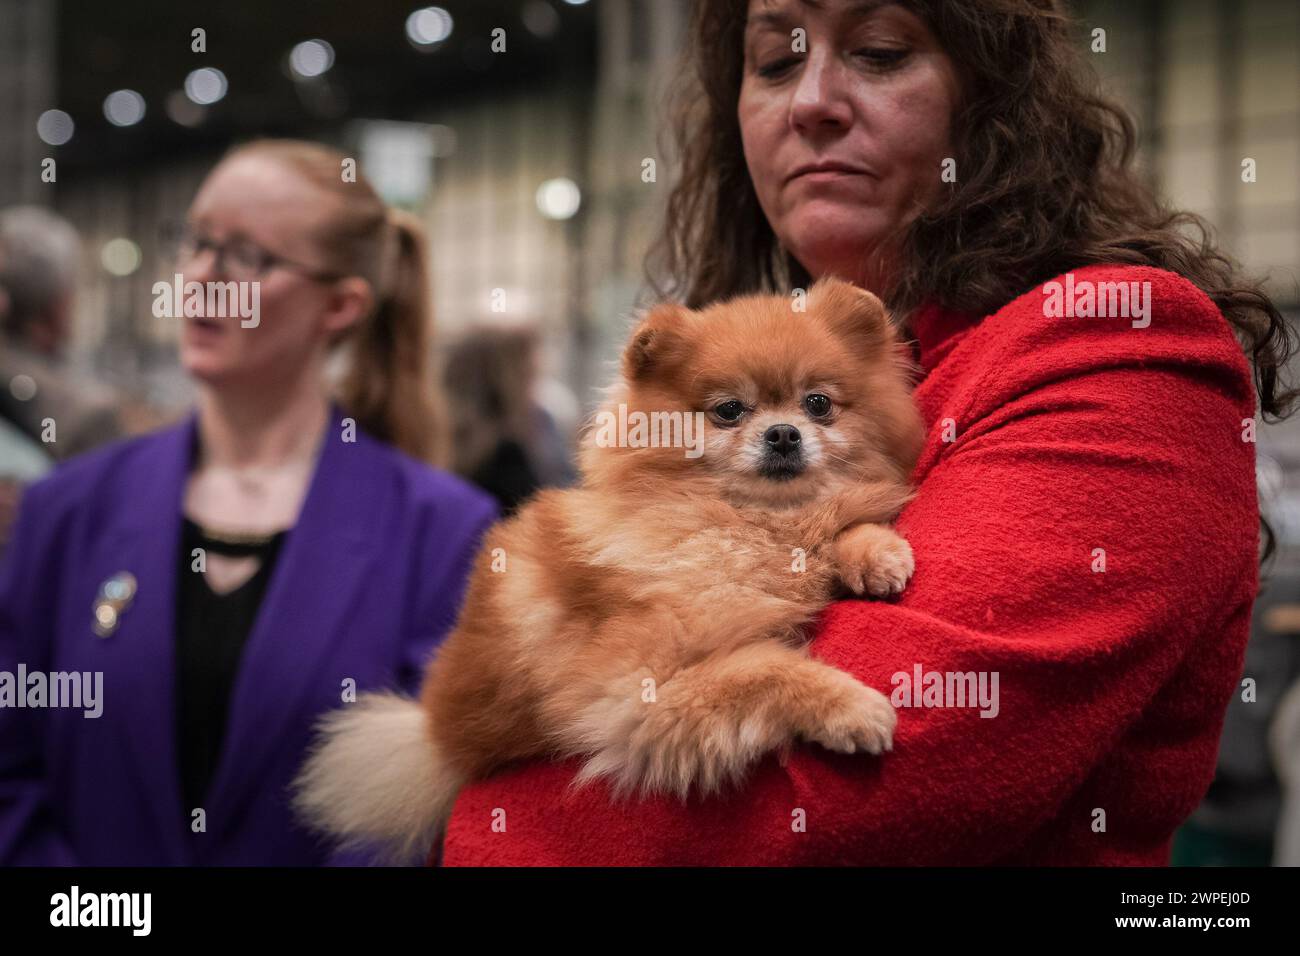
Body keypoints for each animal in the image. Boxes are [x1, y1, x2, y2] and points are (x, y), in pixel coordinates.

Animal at [295, 274, 925, 858]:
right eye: (728, 411)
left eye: (818, 403)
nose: (784, 433)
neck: (745, 522)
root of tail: (434, 731)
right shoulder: (633, 691)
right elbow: (762, 670)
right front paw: (851, 706)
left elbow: (841, 529)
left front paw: (876, 553)